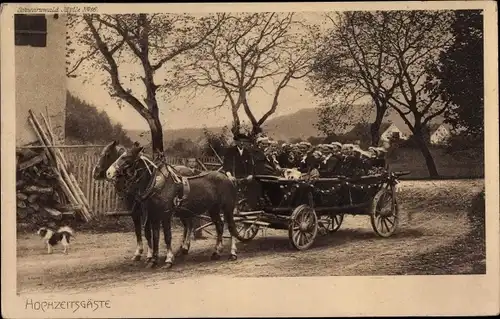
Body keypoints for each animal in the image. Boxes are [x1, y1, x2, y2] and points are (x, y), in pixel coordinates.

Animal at [105, 144, 240, 268]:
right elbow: (155, 237)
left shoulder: (165, 215)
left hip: (228, 208)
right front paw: (153, 260)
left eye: (126, 158)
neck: (157, 184)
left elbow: (167, 236)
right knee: (219, 226)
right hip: (213, 209)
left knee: (231, 227)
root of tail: (228, 177)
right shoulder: (153, 216)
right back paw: (216, 252)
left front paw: (168, 259)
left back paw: (233, 253)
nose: (108, 172)